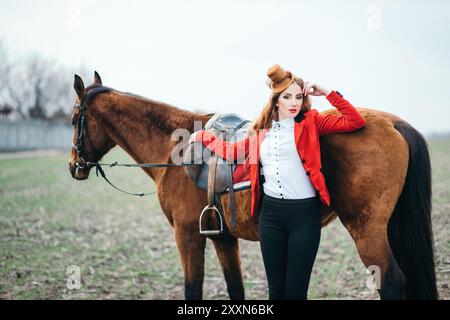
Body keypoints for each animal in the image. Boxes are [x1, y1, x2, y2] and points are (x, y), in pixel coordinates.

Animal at [67, 72, 436, 300]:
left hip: (366, 230)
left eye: (73, 119)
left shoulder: (187, 235)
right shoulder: (223, 238)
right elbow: (236, 289)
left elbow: (192, 289)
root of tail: (394, 122)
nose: (74, 166)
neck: (174, 149)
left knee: (391, 282)